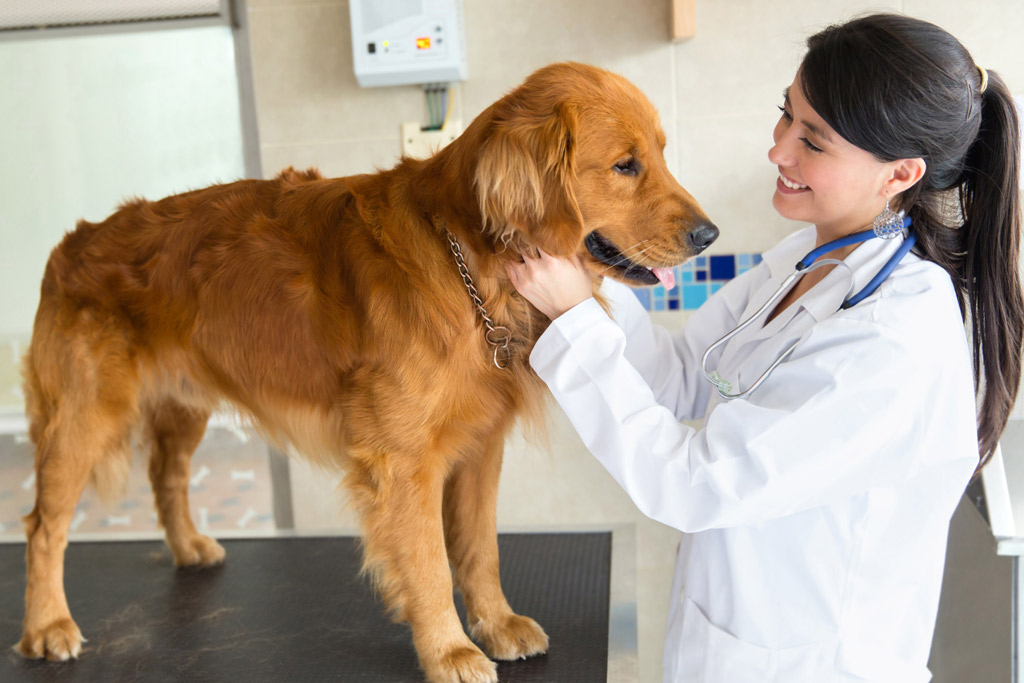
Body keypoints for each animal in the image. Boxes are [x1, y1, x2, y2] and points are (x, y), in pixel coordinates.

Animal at [18, 61, 720, 679]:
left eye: (661, 154)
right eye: (625, 165)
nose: (710, 235)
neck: (467, 263)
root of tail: (71, 242)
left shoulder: (479, 448)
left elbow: (480, 549)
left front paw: (495, 624)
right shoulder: (403, 461)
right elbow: (431, 562)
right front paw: (450, 650)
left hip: (183, 406)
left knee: (166, 475)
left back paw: (188, 546)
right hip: (83, 418)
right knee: (44, 527)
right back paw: (47, 624)